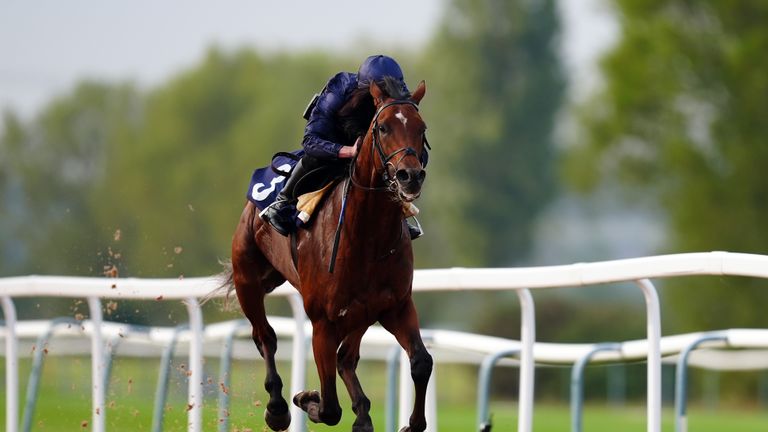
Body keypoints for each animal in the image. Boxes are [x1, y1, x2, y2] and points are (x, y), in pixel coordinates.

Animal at [225, 78, 436, 432]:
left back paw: (362, 415)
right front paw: (305, 398)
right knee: (265, 337)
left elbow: (421, 362)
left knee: (346, 358)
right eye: (382, 127)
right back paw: (278, 408)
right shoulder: (323, 321)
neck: (367, 237)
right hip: (248, 280)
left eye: (422, 128)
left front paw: (411, 423)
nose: (410, 176)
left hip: (361, 313)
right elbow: (329, 409)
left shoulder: (395, 305)